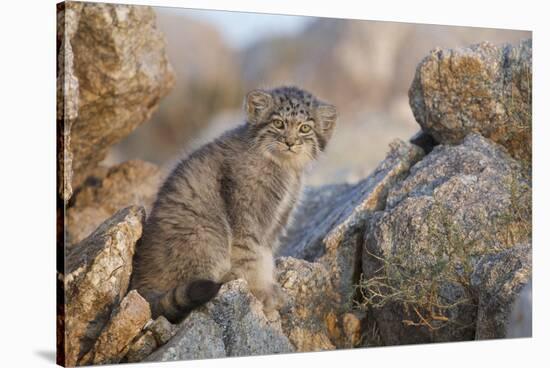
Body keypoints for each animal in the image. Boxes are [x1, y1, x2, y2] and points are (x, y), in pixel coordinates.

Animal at [130, 86, 336, 322]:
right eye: (278, 123)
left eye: (304, 128)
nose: (290, 142)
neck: (284, 168)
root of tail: (140, 286)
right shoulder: (246, 216)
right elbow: (251, 256)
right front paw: (261, 292)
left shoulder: (275, 222)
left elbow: (265, 255)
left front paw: (269, 287)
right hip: (206, 235)